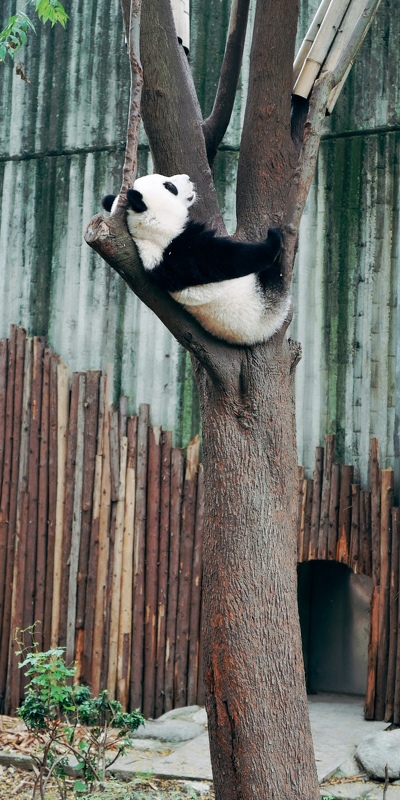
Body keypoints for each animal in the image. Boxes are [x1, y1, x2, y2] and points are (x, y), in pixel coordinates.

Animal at [101, 173, 290, 346]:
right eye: (169, 186)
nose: (188, 177)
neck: (150, 229)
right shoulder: (180, 250)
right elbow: (229, 259)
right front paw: (273, 239)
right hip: (264, 303)